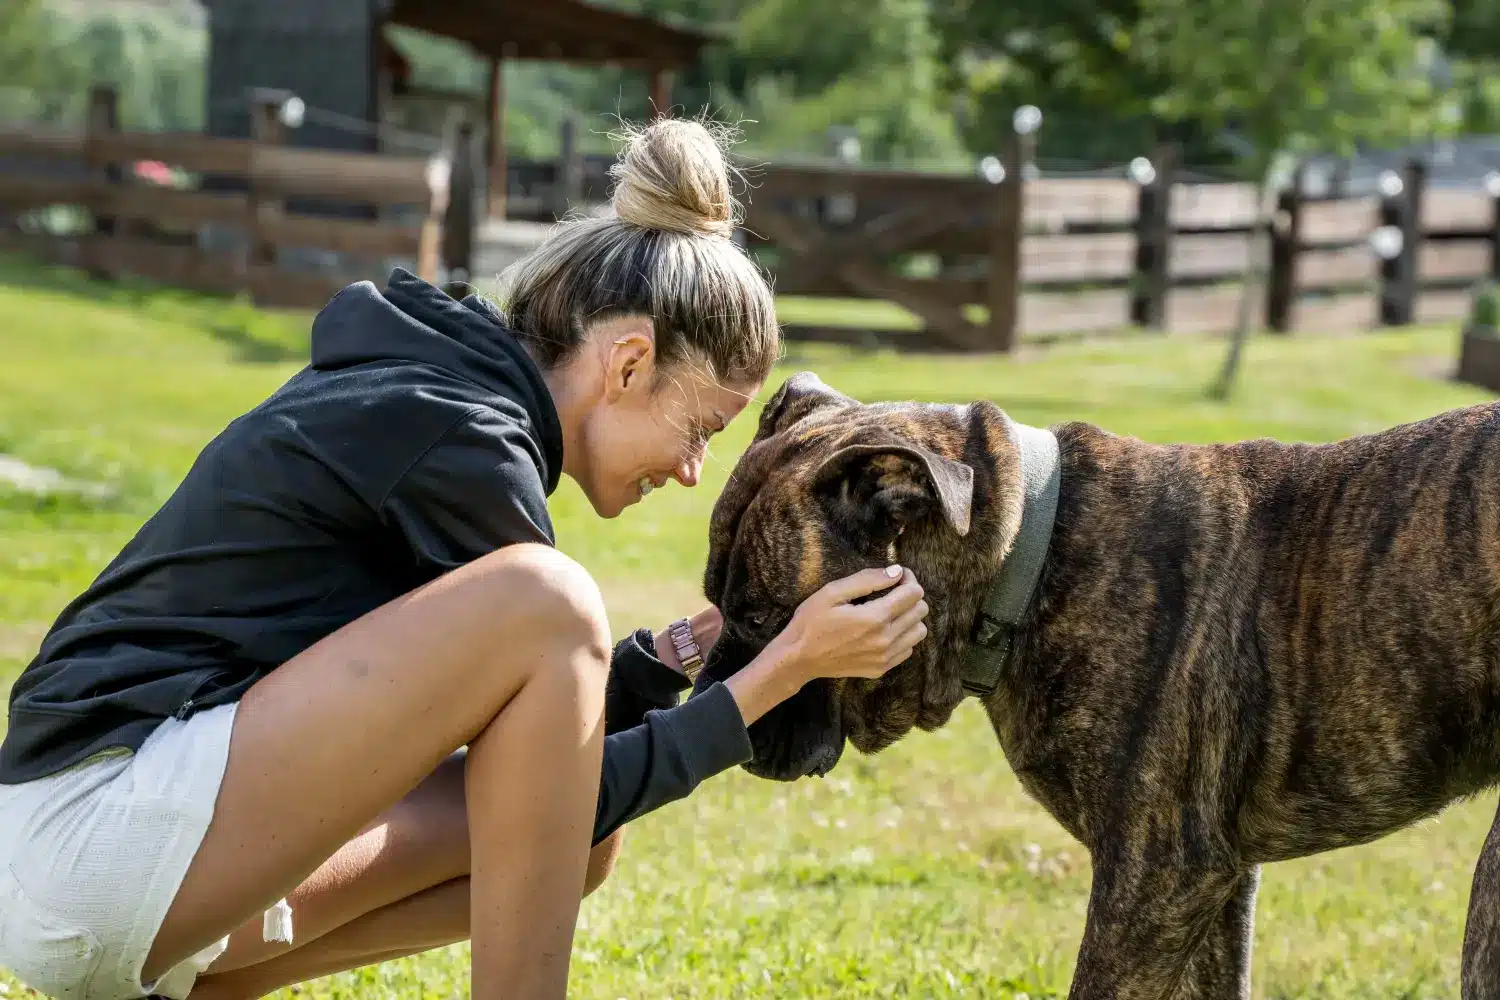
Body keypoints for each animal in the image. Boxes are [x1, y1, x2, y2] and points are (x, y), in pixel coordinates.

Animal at [693, 371, 1500, 995]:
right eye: (714, 599)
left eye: (762, 615)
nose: (711, 709)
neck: (1030, 556)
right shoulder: (1217, 884)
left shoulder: (1156, 881)